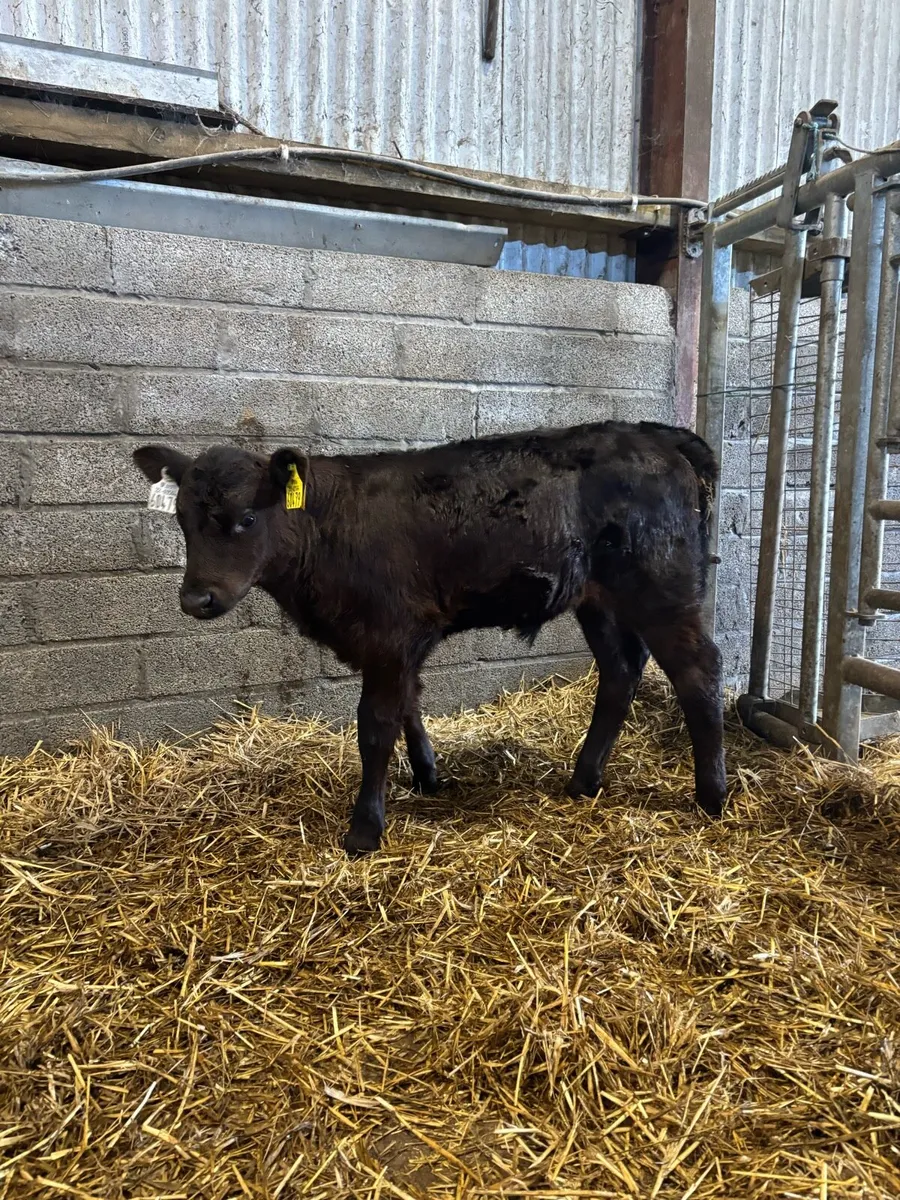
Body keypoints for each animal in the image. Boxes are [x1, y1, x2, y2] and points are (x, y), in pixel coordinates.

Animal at [134, 421, 725, 854]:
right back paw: (585, 780)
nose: (196, 599)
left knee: (698, 670)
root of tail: (657, 435)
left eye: (248, 518)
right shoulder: (402, 640)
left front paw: (365, 829)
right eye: (181, 518)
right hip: (598, 597)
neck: (327, 529)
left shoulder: (388, 634)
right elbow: (409, 706)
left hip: (662, 583)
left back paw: (712, 795)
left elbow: (376, 725)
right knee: (621, 670)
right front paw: (427, 775)